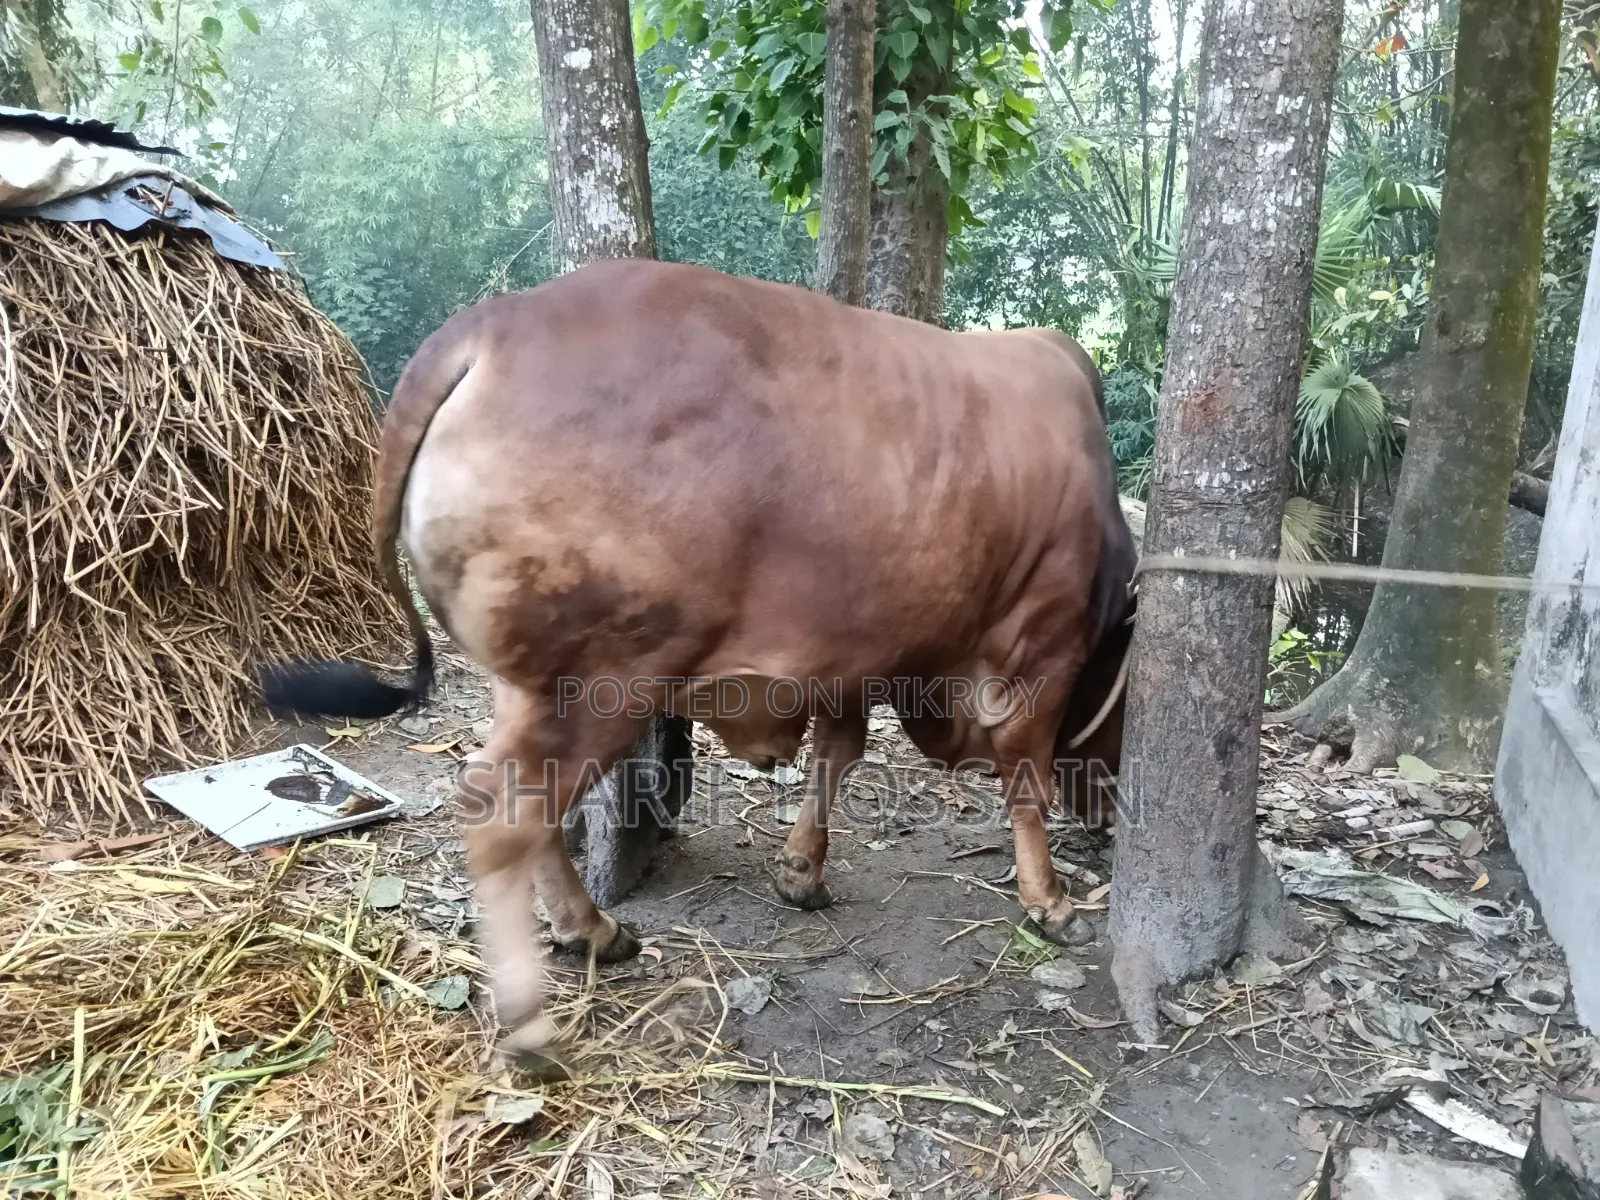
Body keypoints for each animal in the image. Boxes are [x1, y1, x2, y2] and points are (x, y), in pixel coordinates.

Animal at [263, 258, 1136, 1064]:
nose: (1106, 818)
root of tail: (490, 325)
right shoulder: (1044, 642)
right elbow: (1023, 771)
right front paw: (1052, 901)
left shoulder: (853, 660)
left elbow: (838, 755)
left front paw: (801, 872)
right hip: (602, 682)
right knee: (501, 809)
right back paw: (534, 1022)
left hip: (535, 683)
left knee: (527, 806)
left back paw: (592, 931)